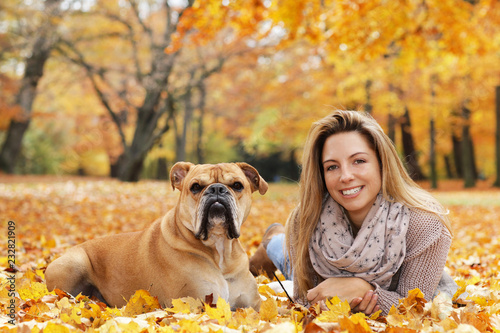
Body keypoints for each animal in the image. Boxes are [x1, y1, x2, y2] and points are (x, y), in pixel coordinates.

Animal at [45, 162, 268, 310]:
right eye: (195, 187)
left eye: (237, 185)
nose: (217, 189)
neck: (219, 250)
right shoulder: (195, 302)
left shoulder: (253, 305)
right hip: (75, 263)